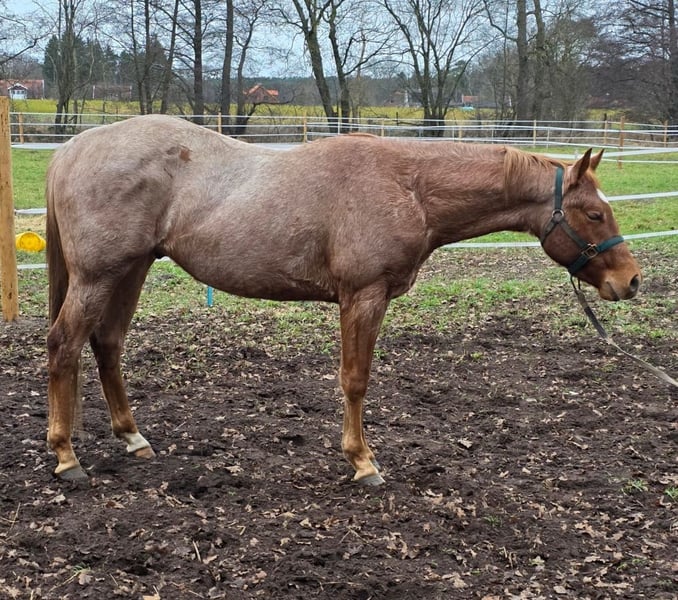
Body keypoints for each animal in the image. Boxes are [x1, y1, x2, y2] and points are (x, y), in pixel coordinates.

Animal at [45, 115, 641, 485]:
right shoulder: (363, 296)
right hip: (99, 275)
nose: (631, 280)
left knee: (106, 344)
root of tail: (75, 147)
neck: (409, 186)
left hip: (131, 269)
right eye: (594, 213)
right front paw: (363, 462)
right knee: (64, 346)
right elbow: (355, 380)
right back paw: (67, 456)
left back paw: (132, 438)